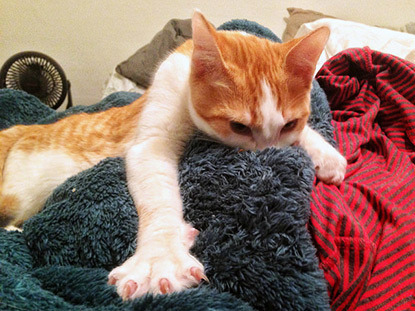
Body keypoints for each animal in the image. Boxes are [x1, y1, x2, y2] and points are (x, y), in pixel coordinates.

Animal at [0, 11, 348, 300]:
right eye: (238, 126)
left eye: (289, 124)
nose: (267, 155)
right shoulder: (151, 139)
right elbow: (158, 198)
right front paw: (160, 258)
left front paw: (325, 154)